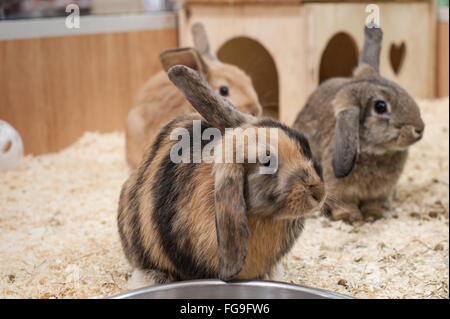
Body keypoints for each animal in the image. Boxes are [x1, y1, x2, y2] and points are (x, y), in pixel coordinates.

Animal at [292, 26, 426, 224]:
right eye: (380, 107)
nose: (419, 129)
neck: (375, 151)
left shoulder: (376, 193)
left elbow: (372, 203)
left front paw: (373, 216)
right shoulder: (340, 191)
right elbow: (345, 204)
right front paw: (351, 218)